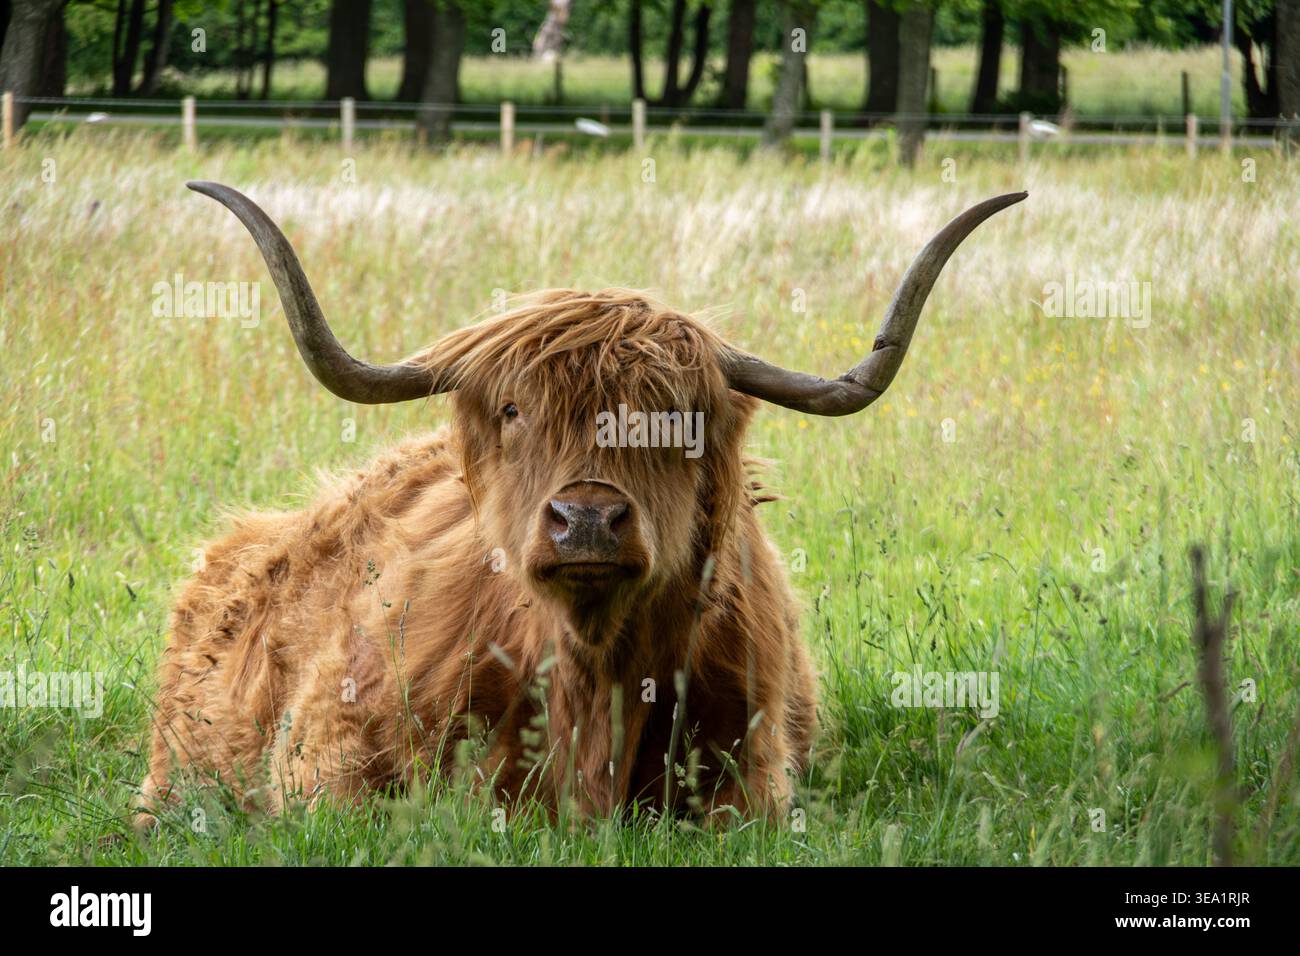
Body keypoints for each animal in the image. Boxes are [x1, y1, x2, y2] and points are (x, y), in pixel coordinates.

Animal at [137, 182, 1025, 826]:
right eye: (512, 410)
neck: (593, 676)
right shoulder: (328, 763)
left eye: (679, 419)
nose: (588, 519)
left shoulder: (753, 781)